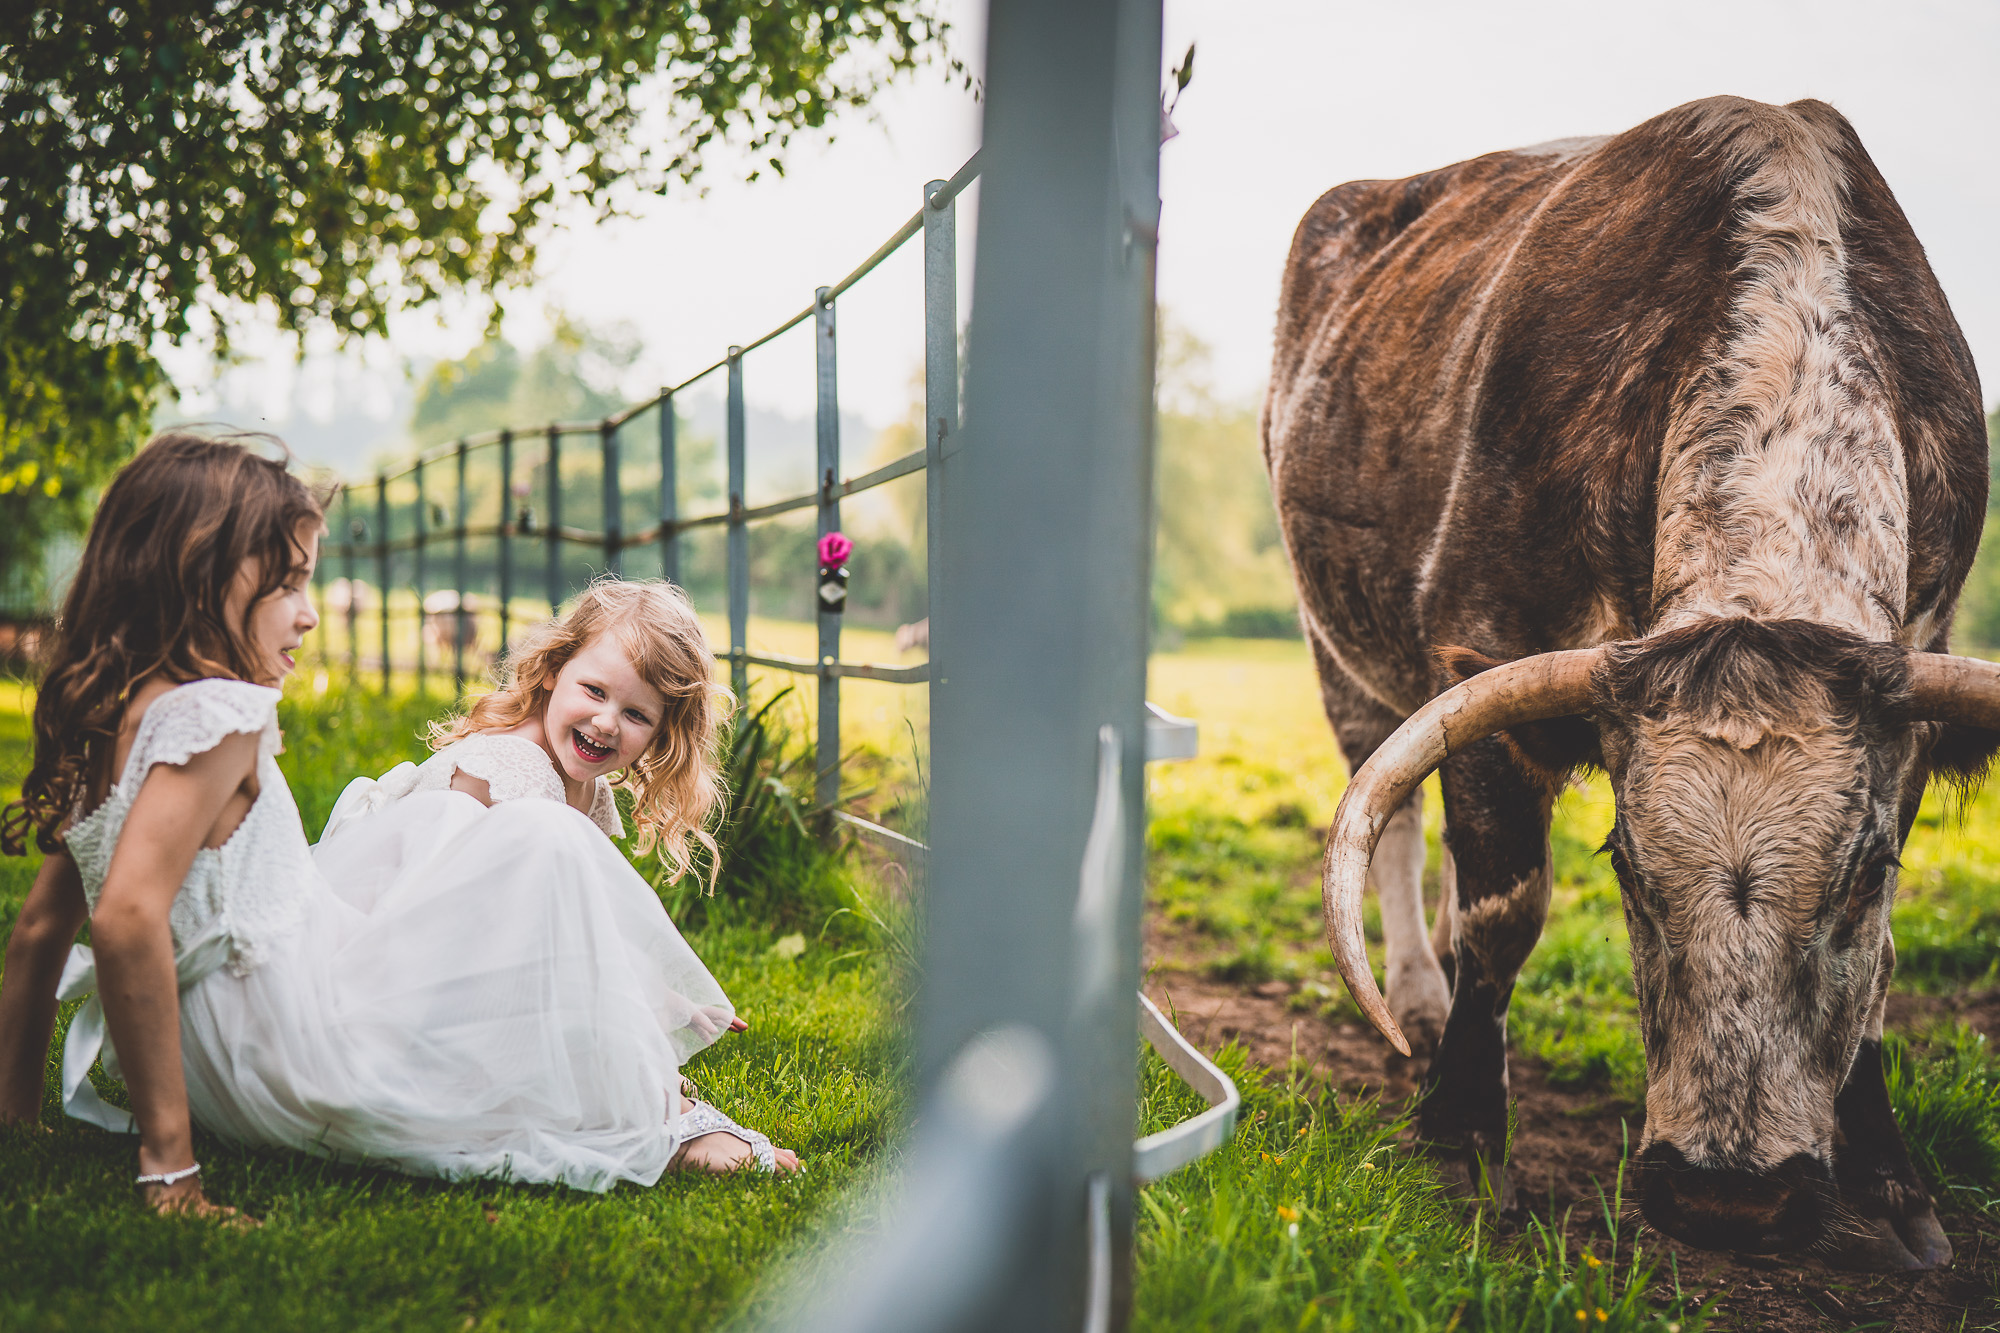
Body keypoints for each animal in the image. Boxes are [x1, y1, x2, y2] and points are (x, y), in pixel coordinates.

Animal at [1264, 96, 2000, 1264]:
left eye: (1860, 874)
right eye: (1628, 867)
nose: (1729, 1201)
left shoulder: (1914, 716)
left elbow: (1881, 959)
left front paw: (1888, 1176)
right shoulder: (1476, 656)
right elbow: (1503, 909)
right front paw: (1460, 1139)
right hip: (1340, 651)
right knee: (1397, 829)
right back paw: (1419, 1005)